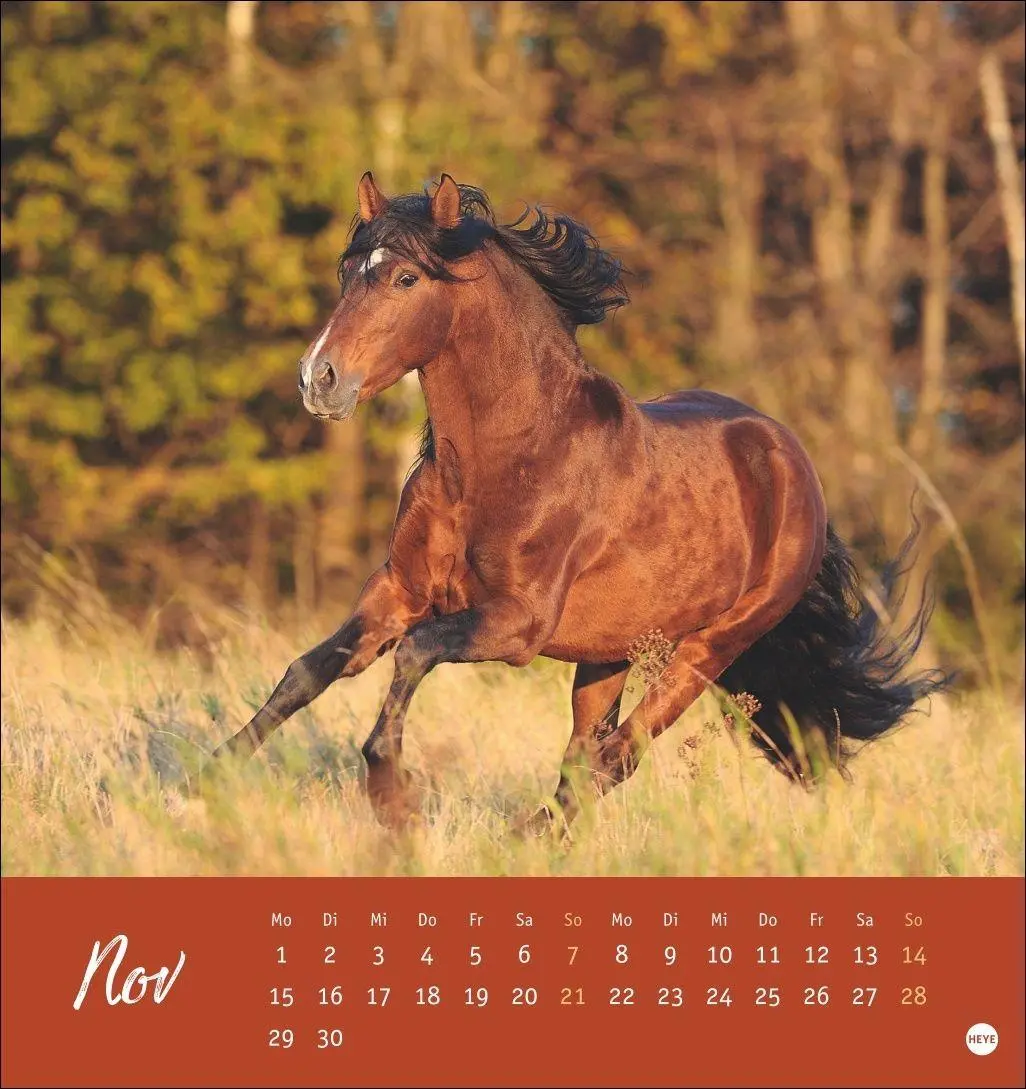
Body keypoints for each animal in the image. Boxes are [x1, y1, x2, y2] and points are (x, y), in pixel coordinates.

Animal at [214, 172, 943, 832]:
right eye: (347, 271)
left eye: (406, 280)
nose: (318, 378)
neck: (505, 463)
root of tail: (791, 461)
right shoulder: (397, 589)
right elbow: (308, 671)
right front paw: (211, 768)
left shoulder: (517, 625)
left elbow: (414, 653)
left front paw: (390, 791)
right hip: (607, 654)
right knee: (585, 757)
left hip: (709, 649)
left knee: (616, 757)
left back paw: (524, 837)